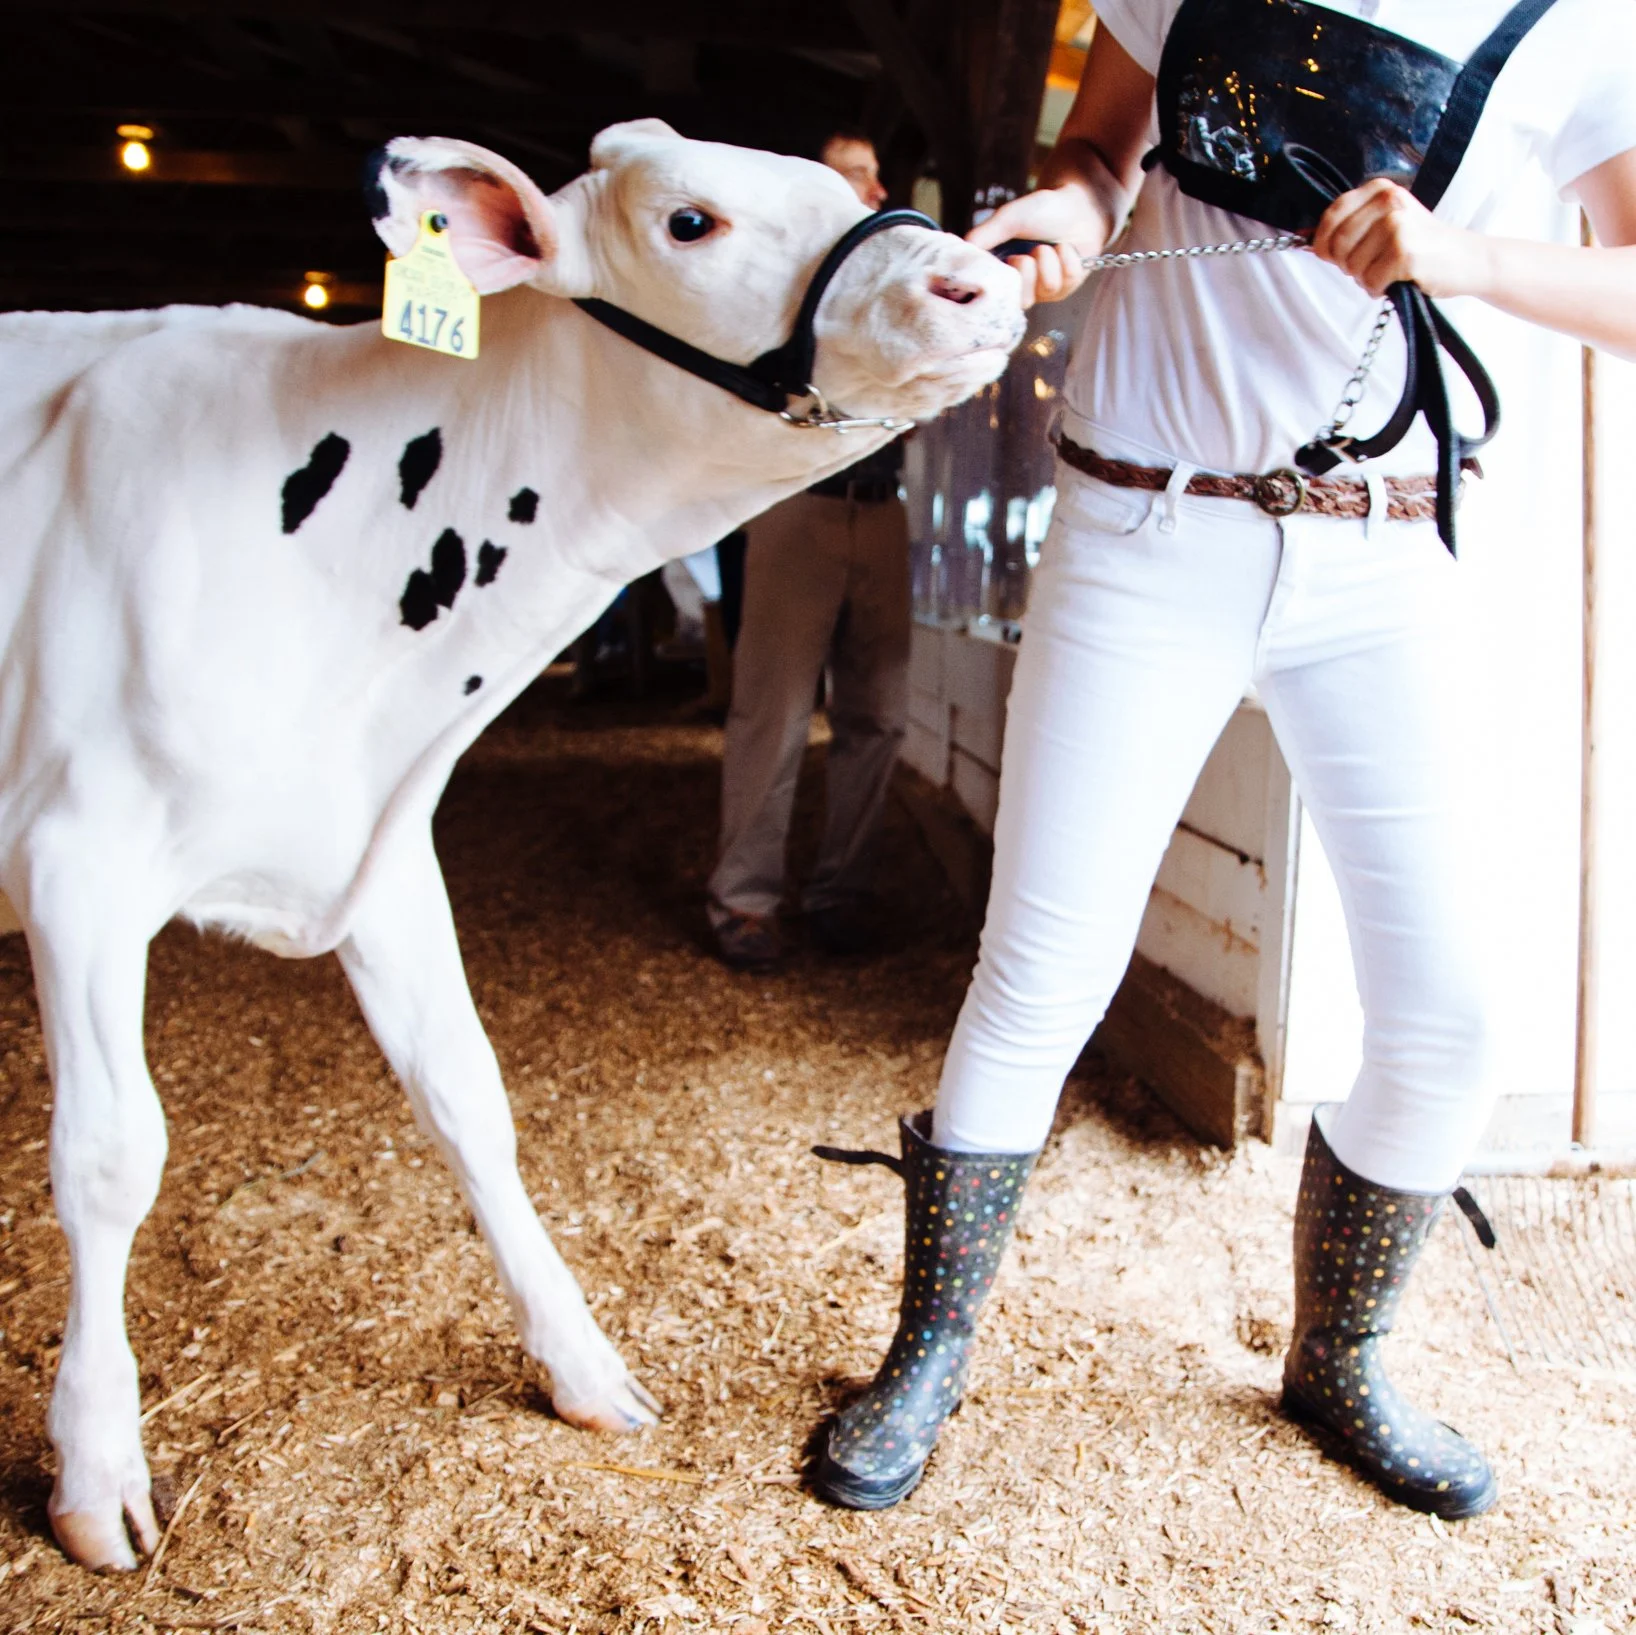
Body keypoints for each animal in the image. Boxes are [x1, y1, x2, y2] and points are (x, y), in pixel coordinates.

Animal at [0, 118, 1025, 1569]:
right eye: (690, 221)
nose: (980, 280)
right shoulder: (75, 863)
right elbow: (107, 1155)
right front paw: (95, 1466)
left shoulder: (381, 856)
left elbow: (471, 1097)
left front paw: (583, 1363)